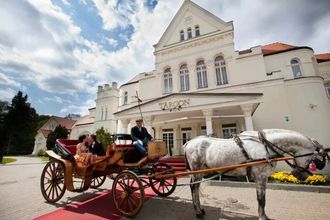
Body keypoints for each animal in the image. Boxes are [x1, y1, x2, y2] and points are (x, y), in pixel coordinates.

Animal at [184, 129, 328, 220]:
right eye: (311, 160)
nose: (300, 176)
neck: (265, 146)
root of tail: (188, 142)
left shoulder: (262, 178)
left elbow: (262, 199)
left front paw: (264, 216)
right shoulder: (260, 177)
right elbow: (261, 200)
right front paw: (262, 217)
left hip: (201, 171)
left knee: (196, 187)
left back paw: (200, 209)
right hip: (196, 169)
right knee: (193, 187)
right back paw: (197, 211)